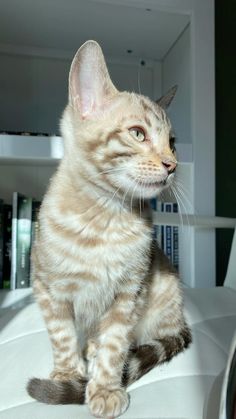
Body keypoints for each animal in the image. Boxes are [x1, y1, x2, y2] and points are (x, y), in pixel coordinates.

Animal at [26, 40, 191, 419]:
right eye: (137, 133)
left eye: (173, 142)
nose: (172, 164)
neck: (104, 221)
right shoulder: (47, 285)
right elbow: (62, 335)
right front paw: (67, 373)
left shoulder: (130, 292)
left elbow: (114, 342)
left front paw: (103, 387)